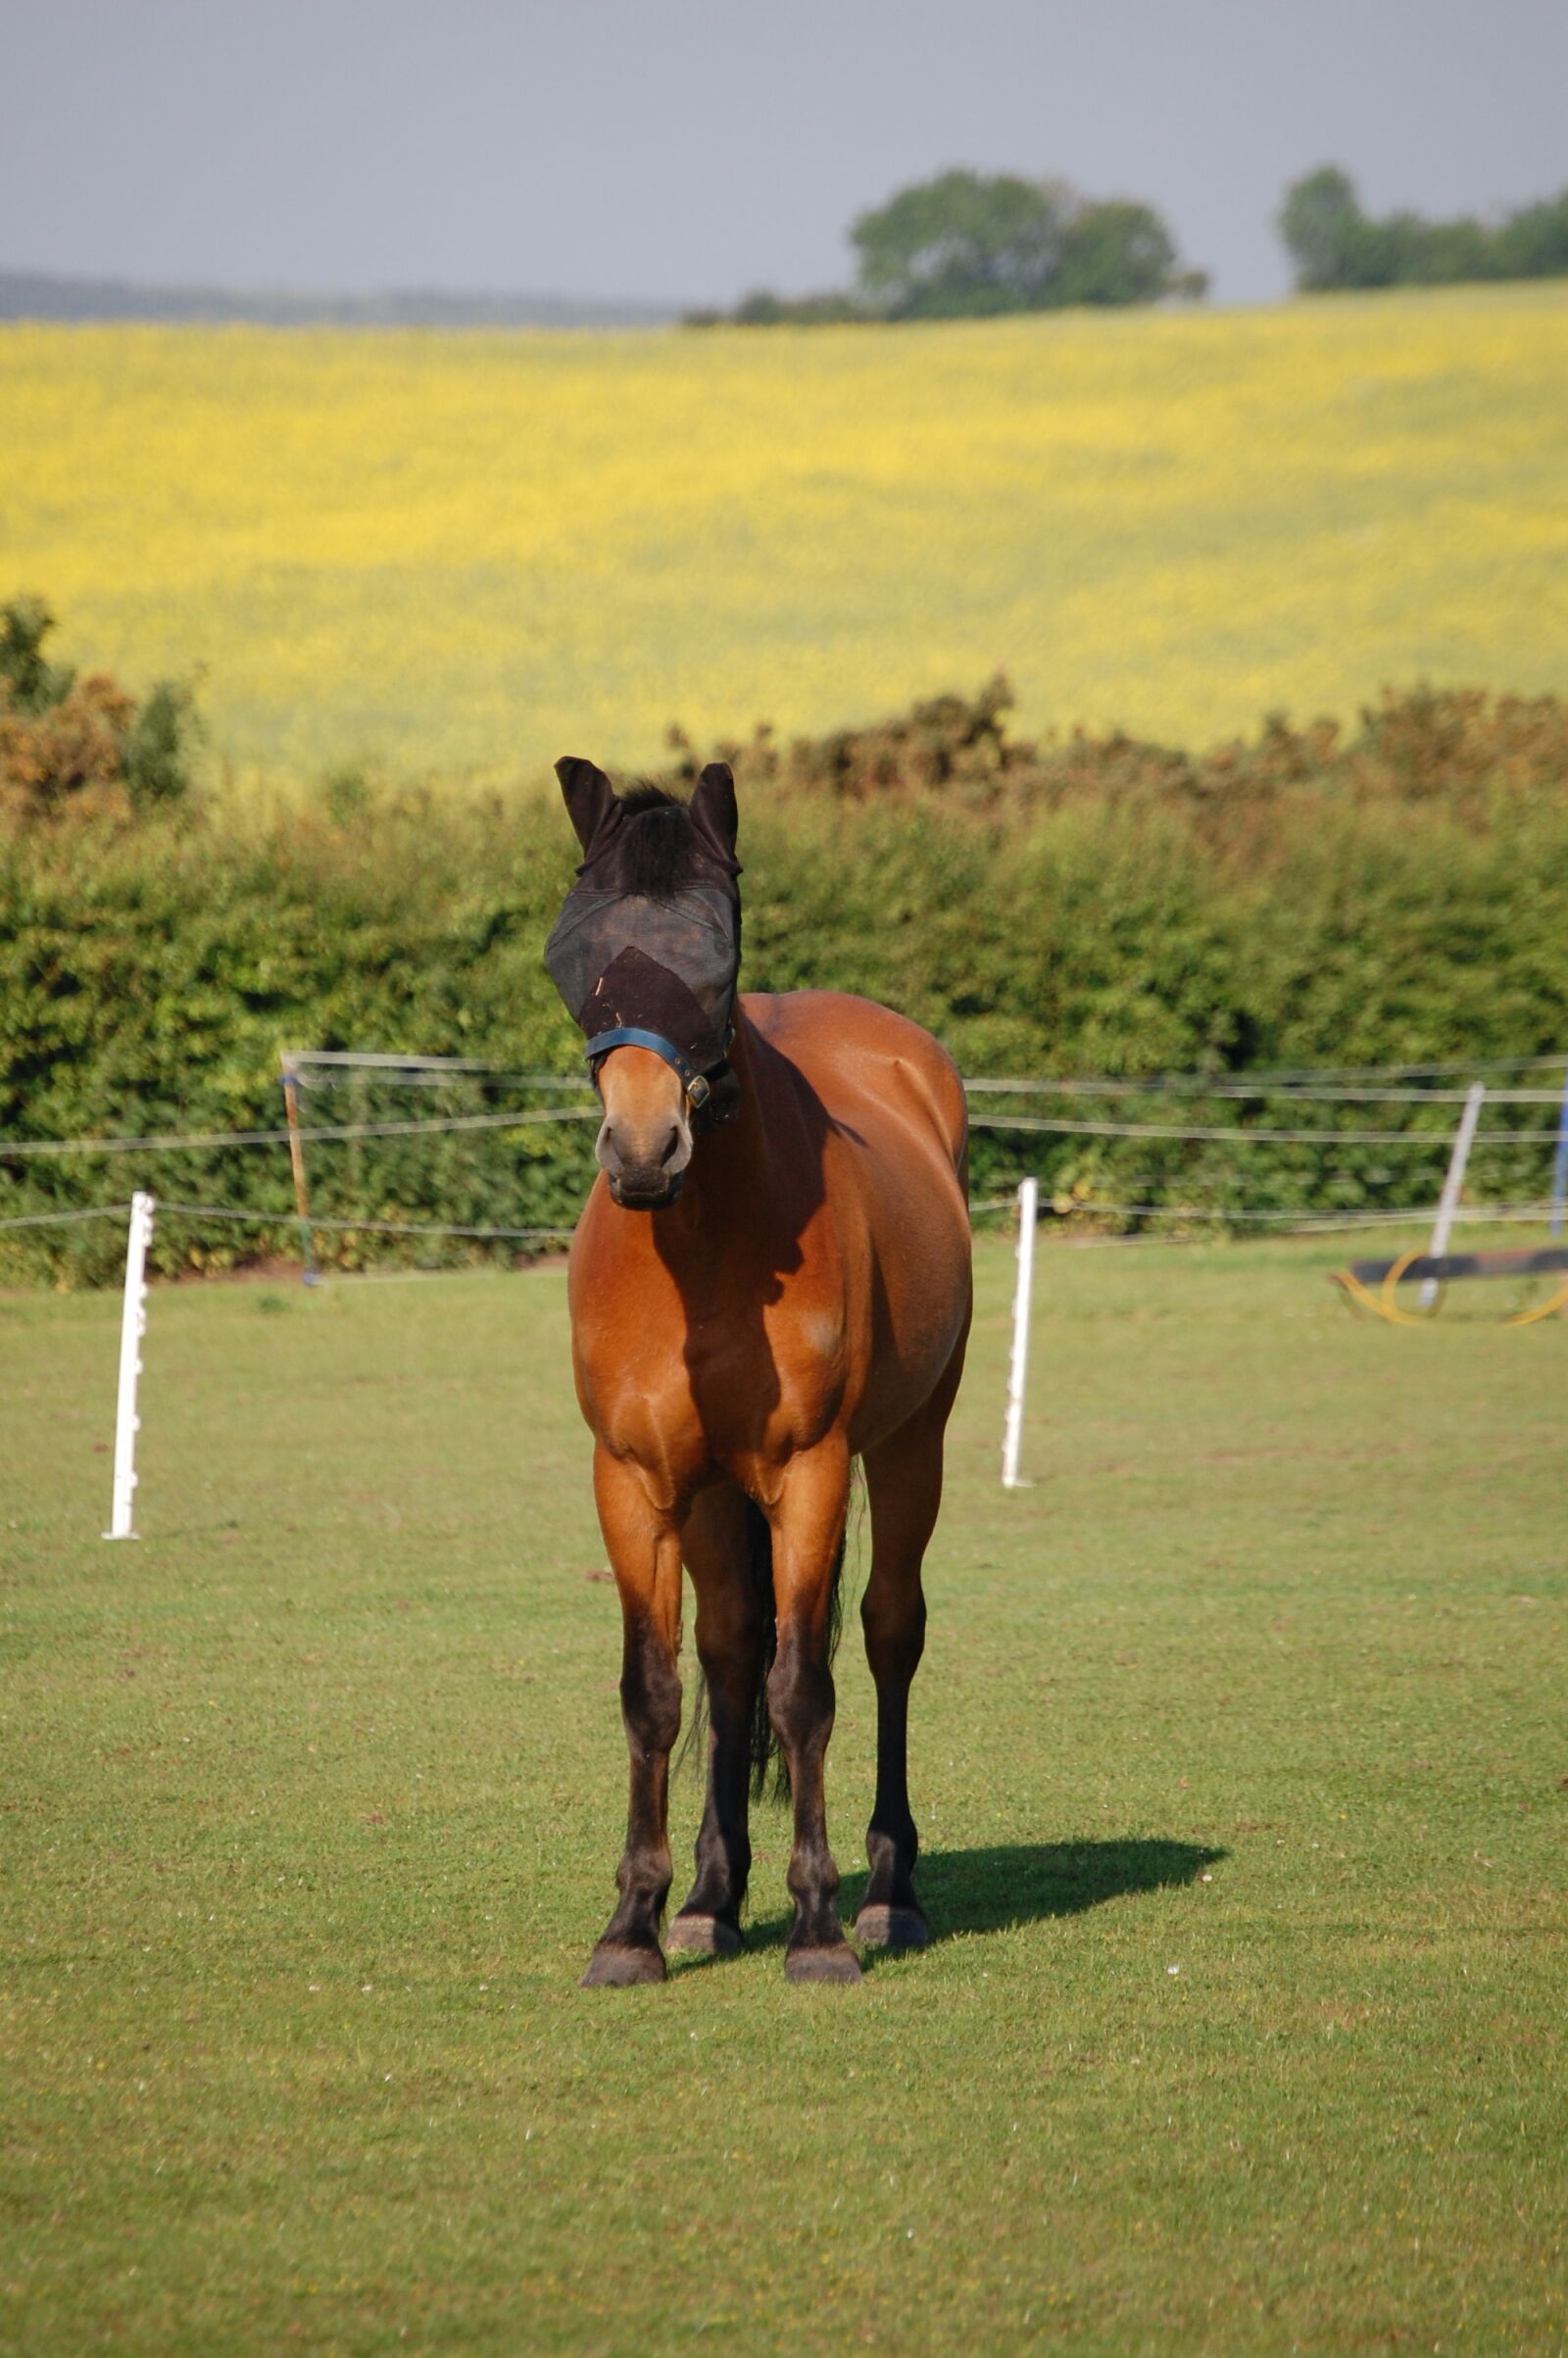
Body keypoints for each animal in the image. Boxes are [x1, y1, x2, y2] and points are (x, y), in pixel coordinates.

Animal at [546, 754, 972, 1984]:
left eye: (715, 949)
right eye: (576, 948)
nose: (645, 1151)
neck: (703, 1249)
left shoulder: (811, 1473)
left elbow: (805, 1687)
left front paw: (820, 1927)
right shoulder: (636, 1481)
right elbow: (657, 1692)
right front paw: (634, 1926)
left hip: (910, 1447)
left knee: (887, 1631)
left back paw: (888, 1893)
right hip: (708, 1495)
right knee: (730, 1652)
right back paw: (709, 1898)